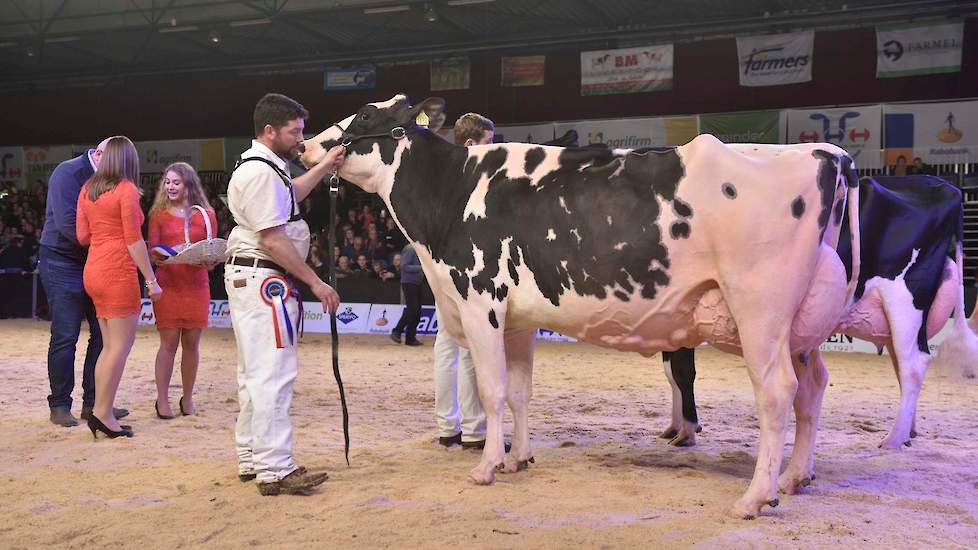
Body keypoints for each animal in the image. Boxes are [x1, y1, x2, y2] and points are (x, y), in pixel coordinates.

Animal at [302, 95, 856, 520]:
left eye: (364, 117)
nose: (306, 144)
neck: (452, 197)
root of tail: (826, 153)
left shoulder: (481, 302)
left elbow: (492, 390)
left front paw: (486, 467)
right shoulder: (517, 321)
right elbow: (520, 392)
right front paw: (518, 459)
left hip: (760, 309)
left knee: (778, 392)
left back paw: (755, 497)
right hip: (798, 323)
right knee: (813, 386)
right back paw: (795, 476)